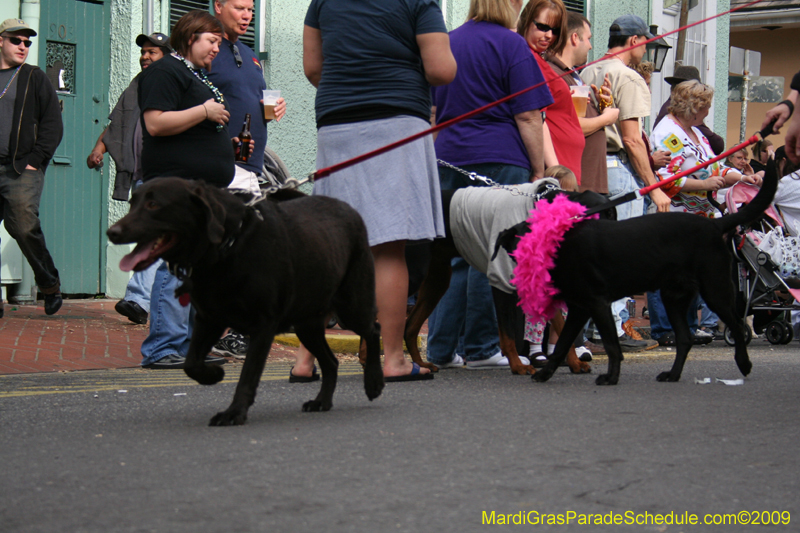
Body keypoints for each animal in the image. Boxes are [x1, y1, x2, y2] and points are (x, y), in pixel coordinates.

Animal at [105, 179, 384, 424]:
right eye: (132, 203)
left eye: (154, 204)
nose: (112, 232)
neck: (227, 248)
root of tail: (350, 209)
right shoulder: (209, 318)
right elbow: (191, 362)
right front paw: (212, 375)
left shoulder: (263, 326)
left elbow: (248, 376)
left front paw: (234, 413)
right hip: (307, 324)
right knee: (332, 362)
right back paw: (322, 401)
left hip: (351, 305)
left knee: (373, 329)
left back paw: (374, 382)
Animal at [496, 160, 780, 384]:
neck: (560, 241)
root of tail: (715, 224)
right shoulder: (581, 308)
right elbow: (564, 344)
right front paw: (546, 374)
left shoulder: (594, 304)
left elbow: (611, 345)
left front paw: (611, 377)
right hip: (673, 297)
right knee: (685, 339)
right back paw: (673, 375)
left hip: (715, 289)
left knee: (736, 325)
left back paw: (743, 363)